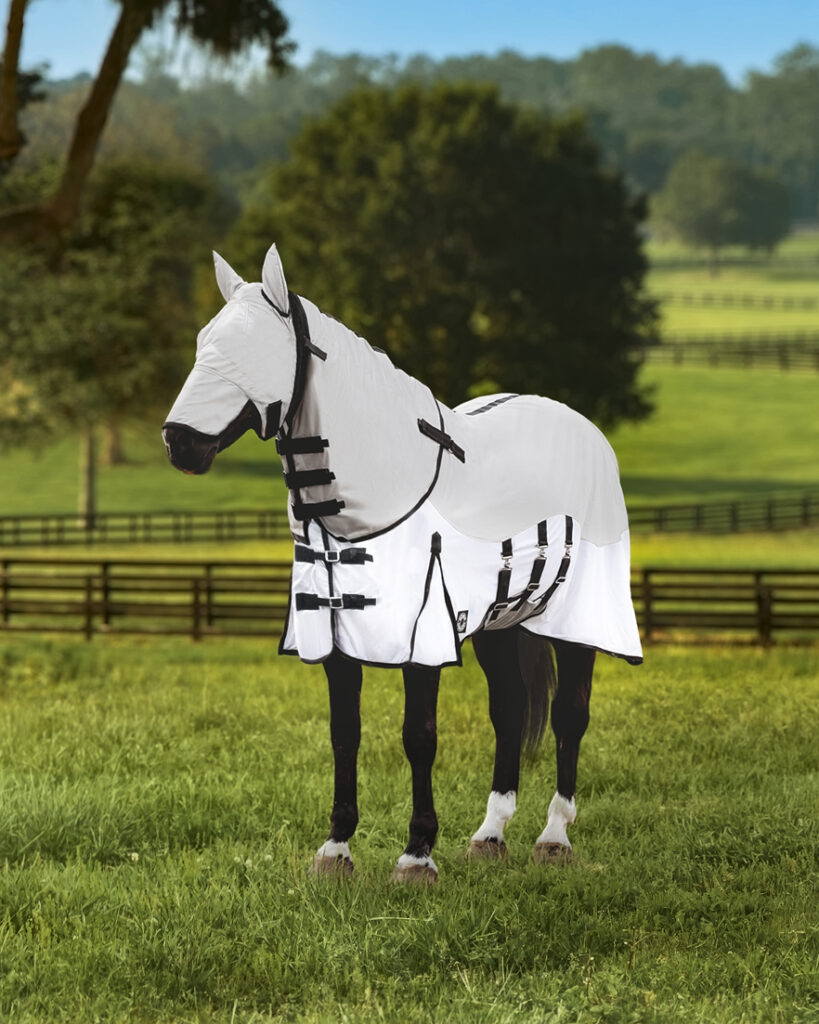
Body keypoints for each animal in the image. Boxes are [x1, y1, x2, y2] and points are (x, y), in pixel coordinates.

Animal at [162, 241, 642, 880]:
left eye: (253, 350)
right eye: (203, 343)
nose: (179, 442)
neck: (373, 496)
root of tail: (582, 426)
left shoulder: (424, 632)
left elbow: (419, 737)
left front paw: (416, 857)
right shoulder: (335, 633)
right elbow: (345, 733)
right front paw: (336, 850)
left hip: (576, 619)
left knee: (570, 714)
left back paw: (554, 838)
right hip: (499, 620)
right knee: (510, 709)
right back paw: (490, 834)